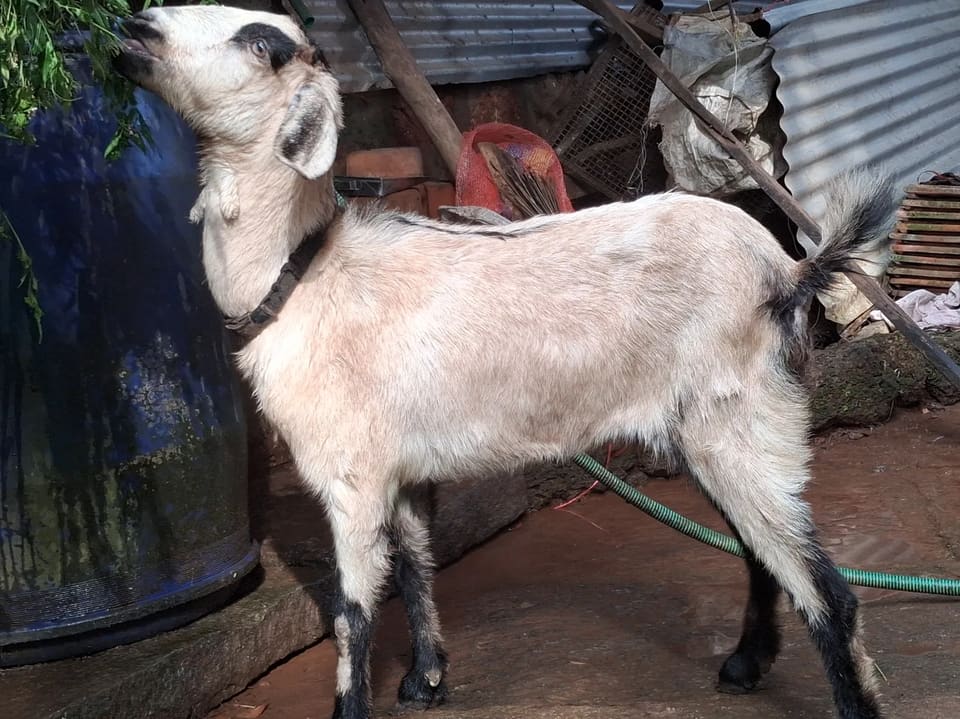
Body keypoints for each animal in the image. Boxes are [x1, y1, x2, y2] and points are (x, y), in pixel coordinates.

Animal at [116, 7, 893, 719]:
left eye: (259, 44)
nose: (135, 28)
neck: (300, 274)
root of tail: (789, 270)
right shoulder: (398, 467)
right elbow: (416, 566)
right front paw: (426, 680)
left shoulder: (349, 473)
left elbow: (353, 614)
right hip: (712, 424)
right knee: (764, 551)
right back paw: (744, 662)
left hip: (739, 417)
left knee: (827, 590)